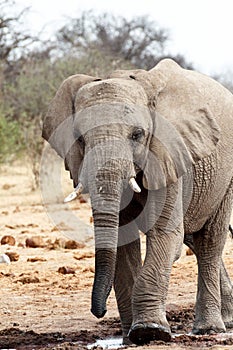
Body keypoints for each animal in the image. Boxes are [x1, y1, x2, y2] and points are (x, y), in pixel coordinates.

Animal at [41, 59, 233, 344]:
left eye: (138, 135)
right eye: (81, 139)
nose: (99, 311)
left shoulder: (168, 152)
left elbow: (165, 233)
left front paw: (149, 332)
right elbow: (122, 237)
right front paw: (131, 338)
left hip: (226, 178)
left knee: (209, 241)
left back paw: (209, 329)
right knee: (194, 240)